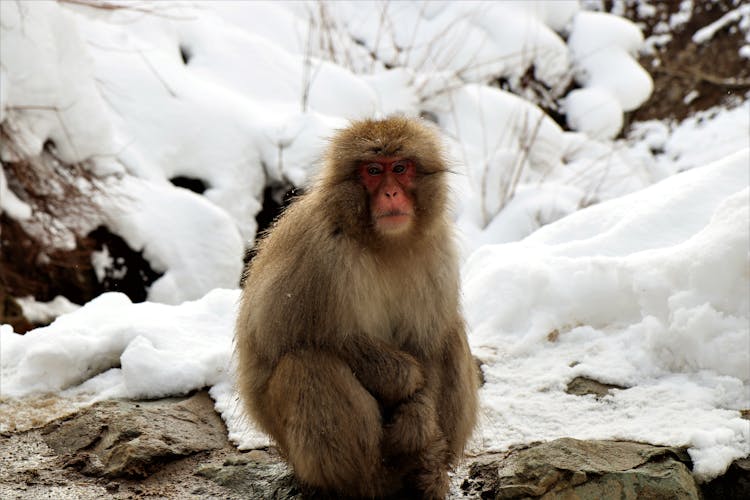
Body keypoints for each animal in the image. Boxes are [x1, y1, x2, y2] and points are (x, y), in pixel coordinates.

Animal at [236, 115, 482, 498]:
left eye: (400, 168)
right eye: (373, 171)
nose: (391, 193)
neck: (383, 243)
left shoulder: (437, 252)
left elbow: (427, 344)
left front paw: (418, 419)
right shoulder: (321, 254)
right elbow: (286, 337)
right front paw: (404, 377)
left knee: (450, 334)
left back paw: (428, 470)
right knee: (305, 363)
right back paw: (362, 482)